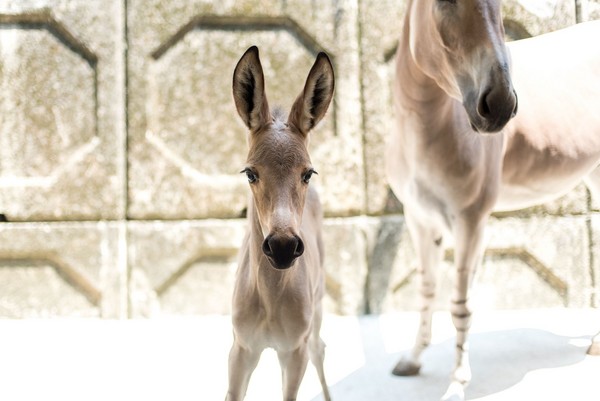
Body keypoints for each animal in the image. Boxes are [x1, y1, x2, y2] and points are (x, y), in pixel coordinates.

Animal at [226, 47, 336, 400]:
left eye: (308, 173)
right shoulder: (241, 348)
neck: (271, 303)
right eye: (250, 173)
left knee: (320, 348)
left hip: (317, 308)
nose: (283, 247)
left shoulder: (293, 350)